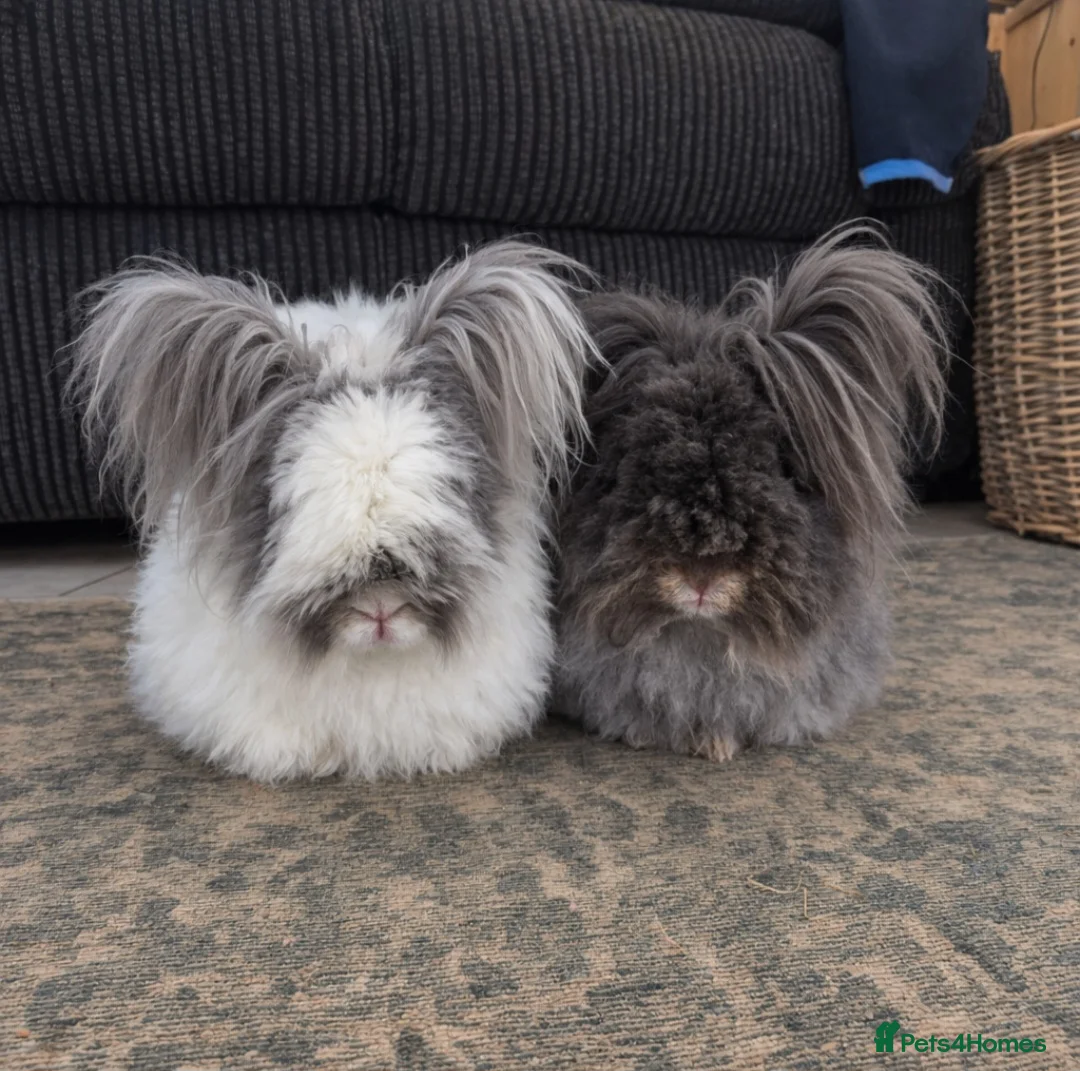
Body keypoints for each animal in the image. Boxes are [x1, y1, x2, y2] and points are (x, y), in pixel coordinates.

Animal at [553, 225, 948, 761]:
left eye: (781, 469)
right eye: (635, 462)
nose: (701, 579)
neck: (701, 637)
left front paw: (719, 746)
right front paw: (652, 736)